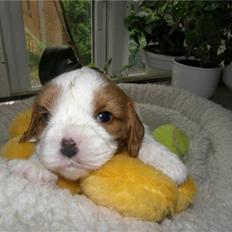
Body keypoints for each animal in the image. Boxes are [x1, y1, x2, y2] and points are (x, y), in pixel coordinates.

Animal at [8, 66, 188, 185]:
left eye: (104, 116)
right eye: (45, 116)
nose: (68, 145)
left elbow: (145, 139)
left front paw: (165, 160)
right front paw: (32, 166)